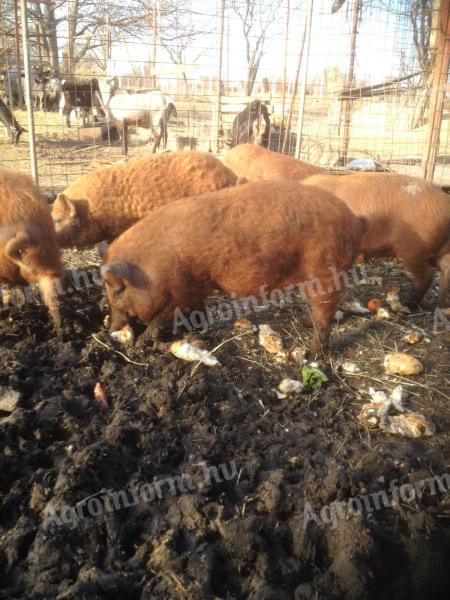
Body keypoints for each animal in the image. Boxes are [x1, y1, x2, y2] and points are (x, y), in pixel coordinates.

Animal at [100, 180, 368, 354]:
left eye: (118, 290)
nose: (110, 328)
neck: (153, 269)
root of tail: (353, 220)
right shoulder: (196, 289)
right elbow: (199, 312)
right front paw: (200, 332)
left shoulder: (179, 291)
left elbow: (161, 320)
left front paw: (139, 344)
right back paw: (305, 323)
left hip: (325, 271)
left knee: (324, 315)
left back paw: (314, 355)